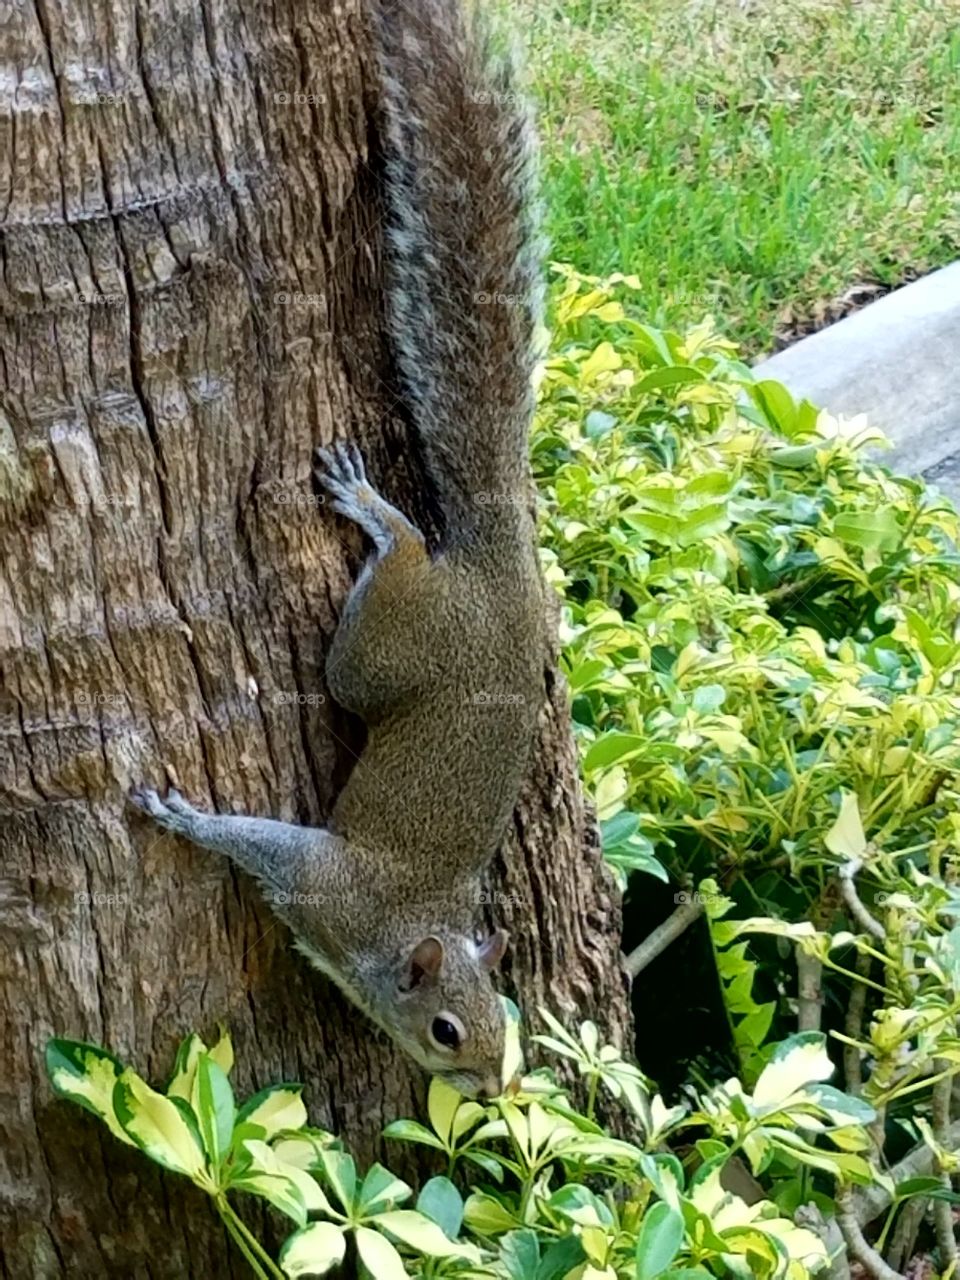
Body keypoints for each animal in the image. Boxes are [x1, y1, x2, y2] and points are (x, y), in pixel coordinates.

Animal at [130, 0, 546, 1099]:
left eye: (507, 1023)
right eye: (446, 1030)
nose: (495, 1090)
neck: (400, 931)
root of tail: (504, 562)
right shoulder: (323, 885)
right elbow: (256, 844)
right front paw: (182, 816)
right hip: (386, 650)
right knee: (386, 586)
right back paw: (377, 513)